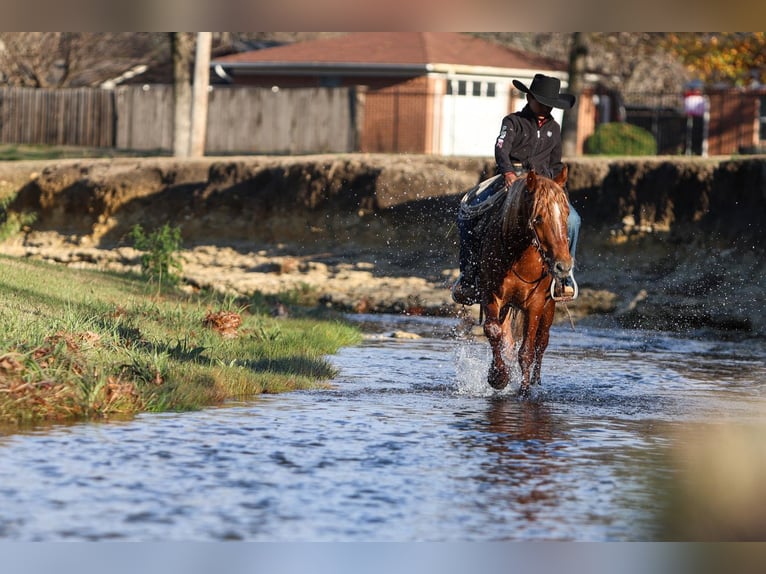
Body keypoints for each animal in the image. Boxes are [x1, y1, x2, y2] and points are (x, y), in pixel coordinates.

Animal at [476, 169, 572, 398]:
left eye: (566, 214)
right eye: (538, 217)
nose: (563, 266)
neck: (520, 257)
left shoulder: (535, 304)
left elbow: (527, 351)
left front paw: (525, 391)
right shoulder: (491, 295)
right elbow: (494, 332)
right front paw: (498, 377)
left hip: (549, 309)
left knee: (541, 343)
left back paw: (536, 381)